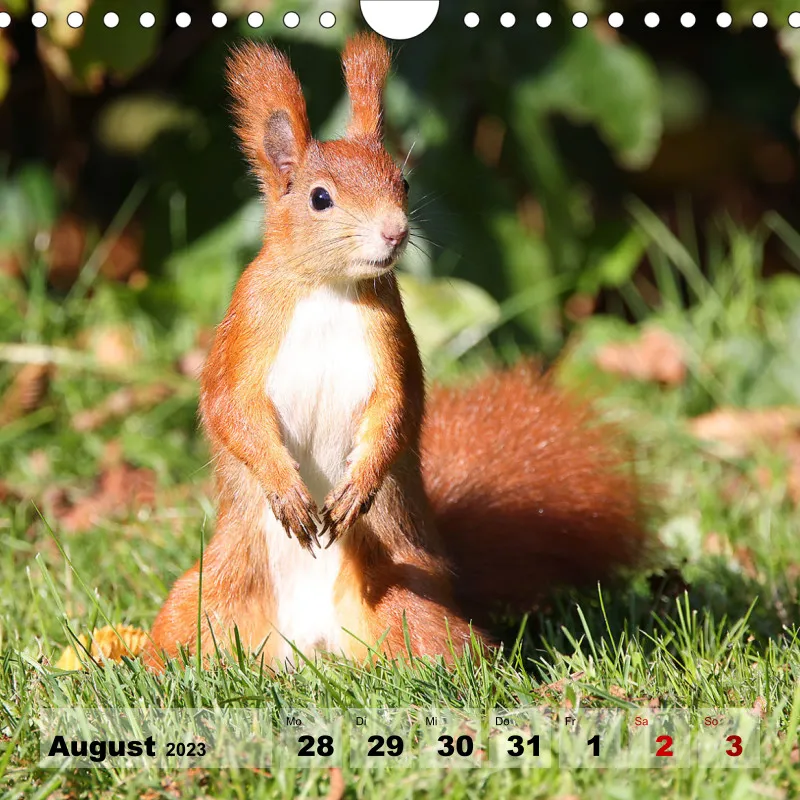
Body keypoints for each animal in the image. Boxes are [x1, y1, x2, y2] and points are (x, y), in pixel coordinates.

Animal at [145, 33, 650, 670]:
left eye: (402, 183)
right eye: (319, 198)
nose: (394, 231)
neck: (329, 287)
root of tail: (310, 647)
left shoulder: (392, 341)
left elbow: (397, 409)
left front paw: (356, 490)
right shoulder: (247, 328)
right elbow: (229, 406)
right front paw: (286, 490)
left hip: (405, 601)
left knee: (442, 648)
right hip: (210, 597)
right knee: (180, 638)